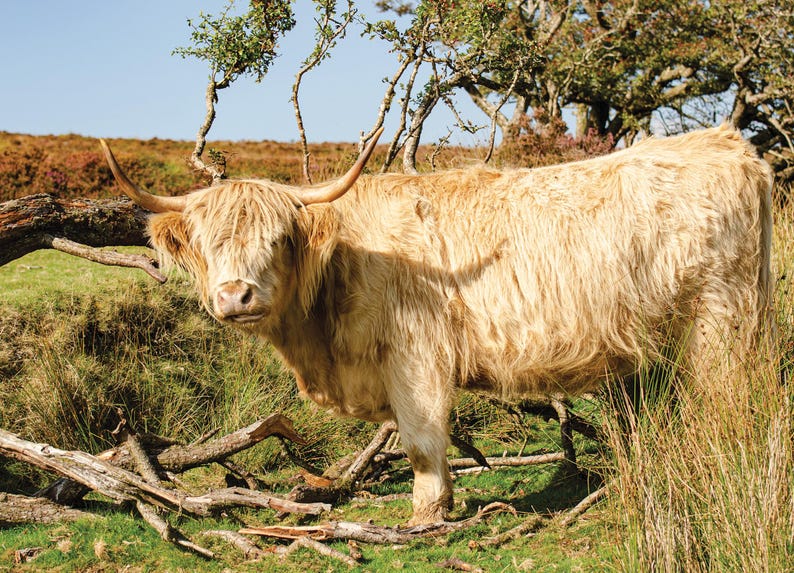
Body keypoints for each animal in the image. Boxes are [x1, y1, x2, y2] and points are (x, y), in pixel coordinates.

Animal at [100, 125, 773, 525]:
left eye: (278, 240)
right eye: (210, 243)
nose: (235, 295)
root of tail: (728, 142)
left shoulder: (416, 359)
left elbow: (422, 441)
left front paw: (427, 514)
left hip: (721, 319)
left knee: (726, 401)